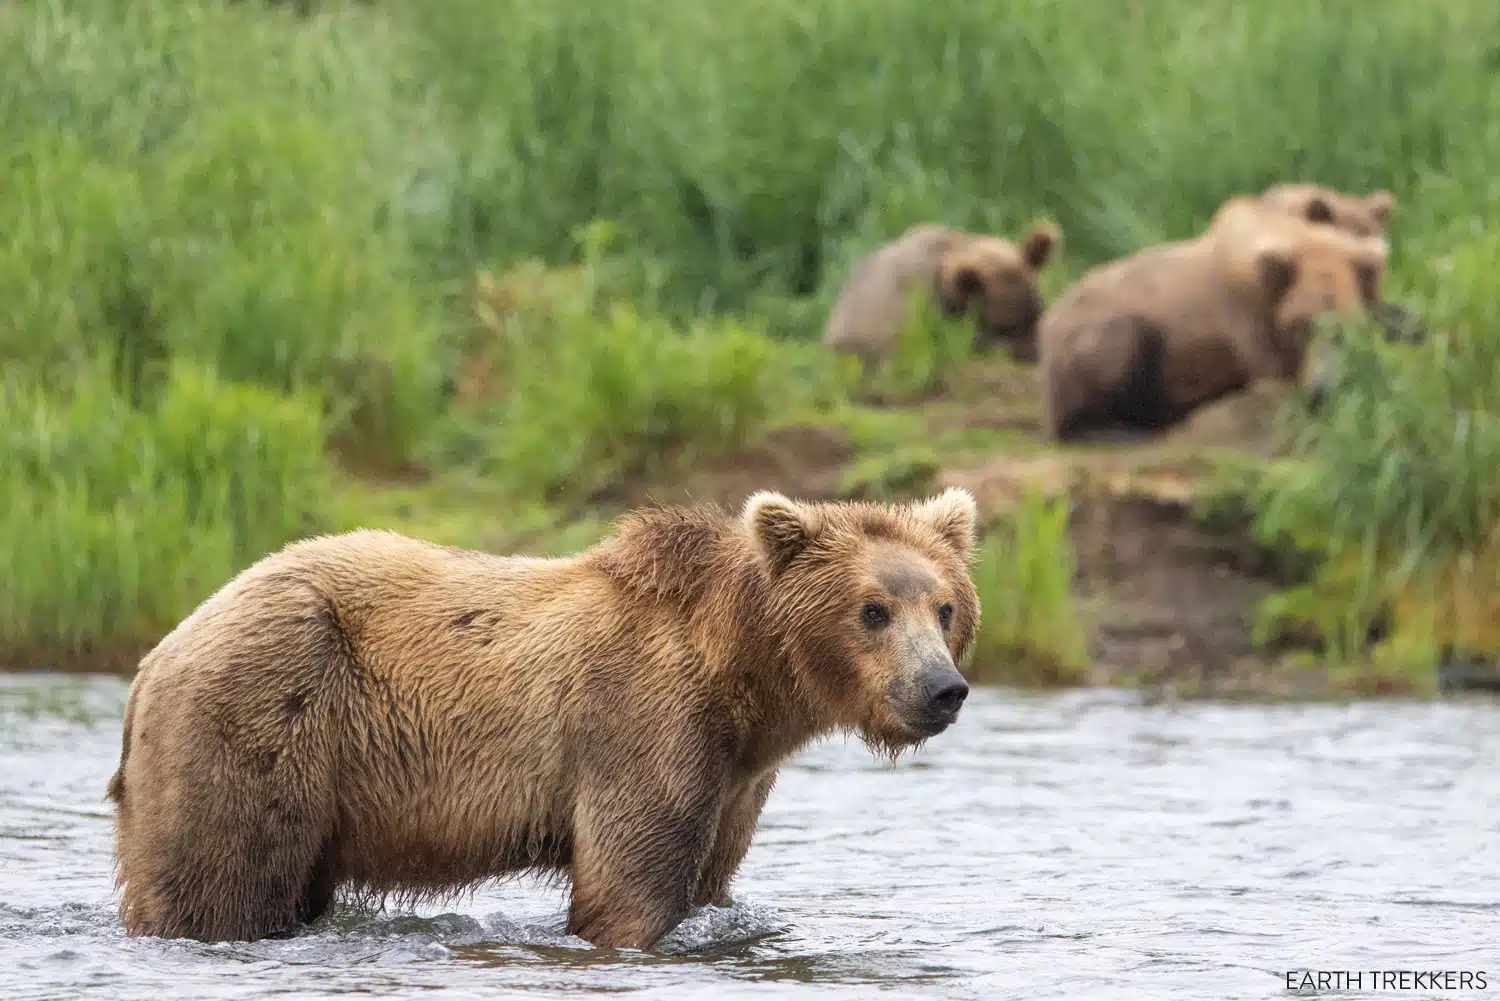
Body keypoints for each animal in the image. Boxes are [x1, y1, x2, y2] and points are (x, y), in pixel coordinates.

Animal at [105, 489, 984, 954]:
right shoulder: (643, 720)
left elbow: (708, 879)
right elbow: (631, 881)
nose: (943, 687)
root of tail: (156, 657)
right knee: (223, 881)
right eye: (873, 609)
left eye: (945, 605)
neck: (743, 675)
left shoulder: (737, 774)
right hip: (264, 713)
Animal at [1038, 198, 1386, 441]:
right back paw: (1115, 429)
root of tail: (1050, 319)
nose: (1321, 390)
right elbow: (1272, 372)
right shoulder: (1247, 315)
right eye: (1301, 324)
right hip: (1101, 330)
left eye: (1350, 326)